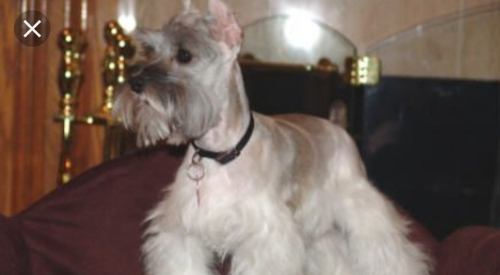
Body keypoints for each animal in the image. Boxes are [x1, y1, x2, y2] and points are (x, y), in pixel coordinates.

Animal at [111, 0, 432, 275]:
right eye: (149, 50)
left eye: (184, 55)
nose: (135, 83)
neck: (221, 153)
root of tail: (335, 126)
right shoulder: (182, 231)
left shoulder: (266, 239)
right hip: (317, 233)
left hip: (362, 211)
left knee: (387, 252)